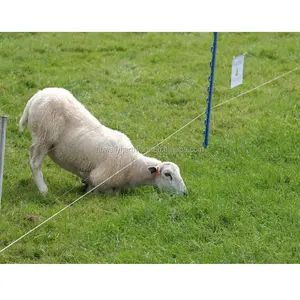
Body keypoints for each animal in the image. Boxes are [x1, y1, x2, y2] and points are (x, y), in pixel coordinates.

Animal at [19, 86, 188, 196]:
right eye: (167, 174)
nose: (185, 193)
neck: (132, 167)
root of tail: (36, 97)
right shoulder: (100, 178)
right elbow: (106, 191)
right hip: (45, 136)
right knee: (35, 163)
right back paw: (44, 190)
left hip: (39, 137)